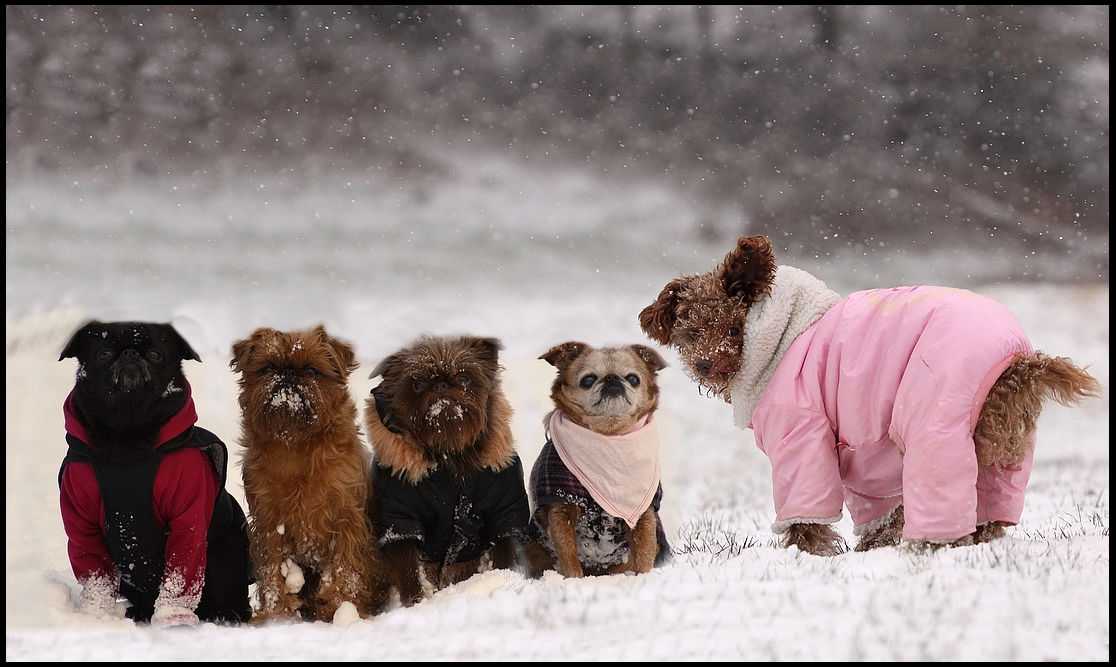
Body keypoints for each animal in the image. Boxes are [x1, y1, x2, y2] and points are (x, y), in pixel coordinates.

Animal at [228, 325, 386, 624]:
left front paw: (341, 610)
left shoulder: (347, 520)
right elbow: (274, 572)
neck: (296, 446)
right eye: (267, 368)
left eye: (312, 371)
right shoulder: (269, 524)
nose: (289, 372)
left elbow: (346, 568)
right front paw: (277, 615)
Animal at [361, 336, 526, 611]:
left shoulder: (505, 511)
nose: (440, 385)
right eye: (417, 384)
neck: (449, 452)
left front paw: (503, 578)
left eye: (463, 378)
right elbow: (407, 565)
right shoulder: (400, 521)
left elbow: (504, 548)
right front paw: (415, 601)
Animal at [522, 345, 669, 580]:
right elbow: (568, 553)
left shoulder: (644, 515)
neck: (608, 436)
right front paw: (573, 580)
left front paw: (643, 578)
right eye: (588, 379)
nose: (612, 378)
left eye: (633, 378)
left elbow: (644, 551)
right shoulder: (561, 510)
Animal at [642, 237, 1102, 557]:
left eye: (734, 329)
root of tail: (1023, 362)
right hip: (1002, 442)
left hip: (936, 419)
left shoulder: (800, 430)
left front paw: (812, 554)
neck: (778, 339)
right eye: (692, 333)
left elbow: (806, 509)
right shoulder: (860, 447)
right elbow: (875, 507)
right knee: (989, 506)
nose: (705, 365)